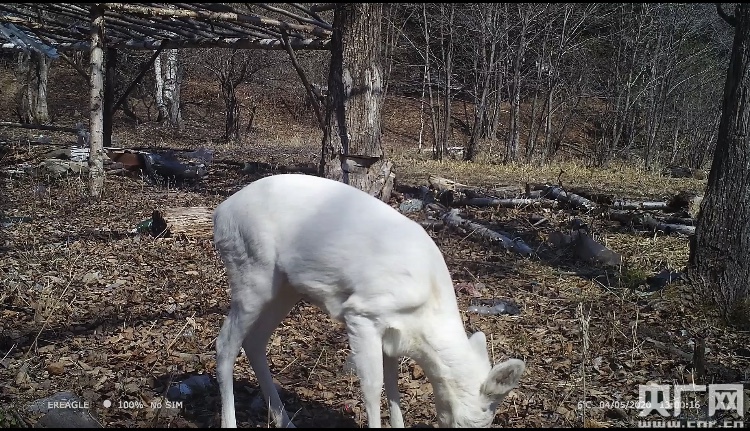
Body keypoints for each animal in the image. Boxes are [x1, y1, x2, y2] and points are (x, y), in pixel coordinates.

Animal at [213, 173, 526, 428]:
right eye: (485, 416)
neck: (426, 320)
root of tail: (220, 214)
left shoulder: (394, 336)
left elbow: (394, 388)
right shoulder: (362, 313)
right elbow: (373, 388)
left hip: (284, 288)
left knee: (254, 342)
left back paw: (285, 421)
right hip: (250, 271)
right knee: (225, 343)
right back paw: (231, 421)